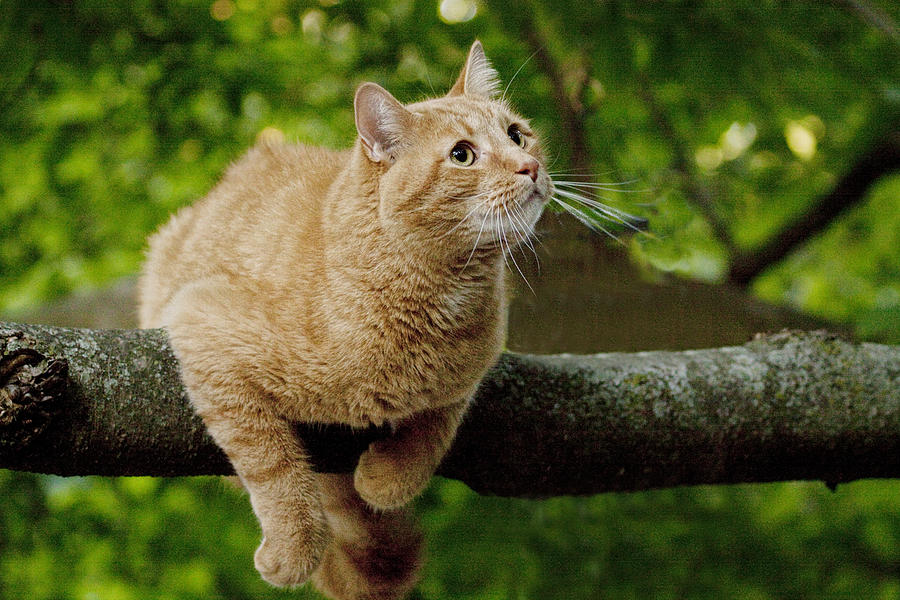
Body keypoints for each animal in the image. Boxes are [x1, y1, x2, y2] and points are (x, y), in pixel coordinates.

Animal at [137, 39, 552, 596]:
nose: (529, 166)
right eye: (462, 155)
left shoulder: (467, 376)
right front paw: (294, 546)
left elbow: (435, 425)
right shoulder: (202, 320)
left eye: (516, 134)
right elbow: (274, 463)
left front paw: (387, 477)